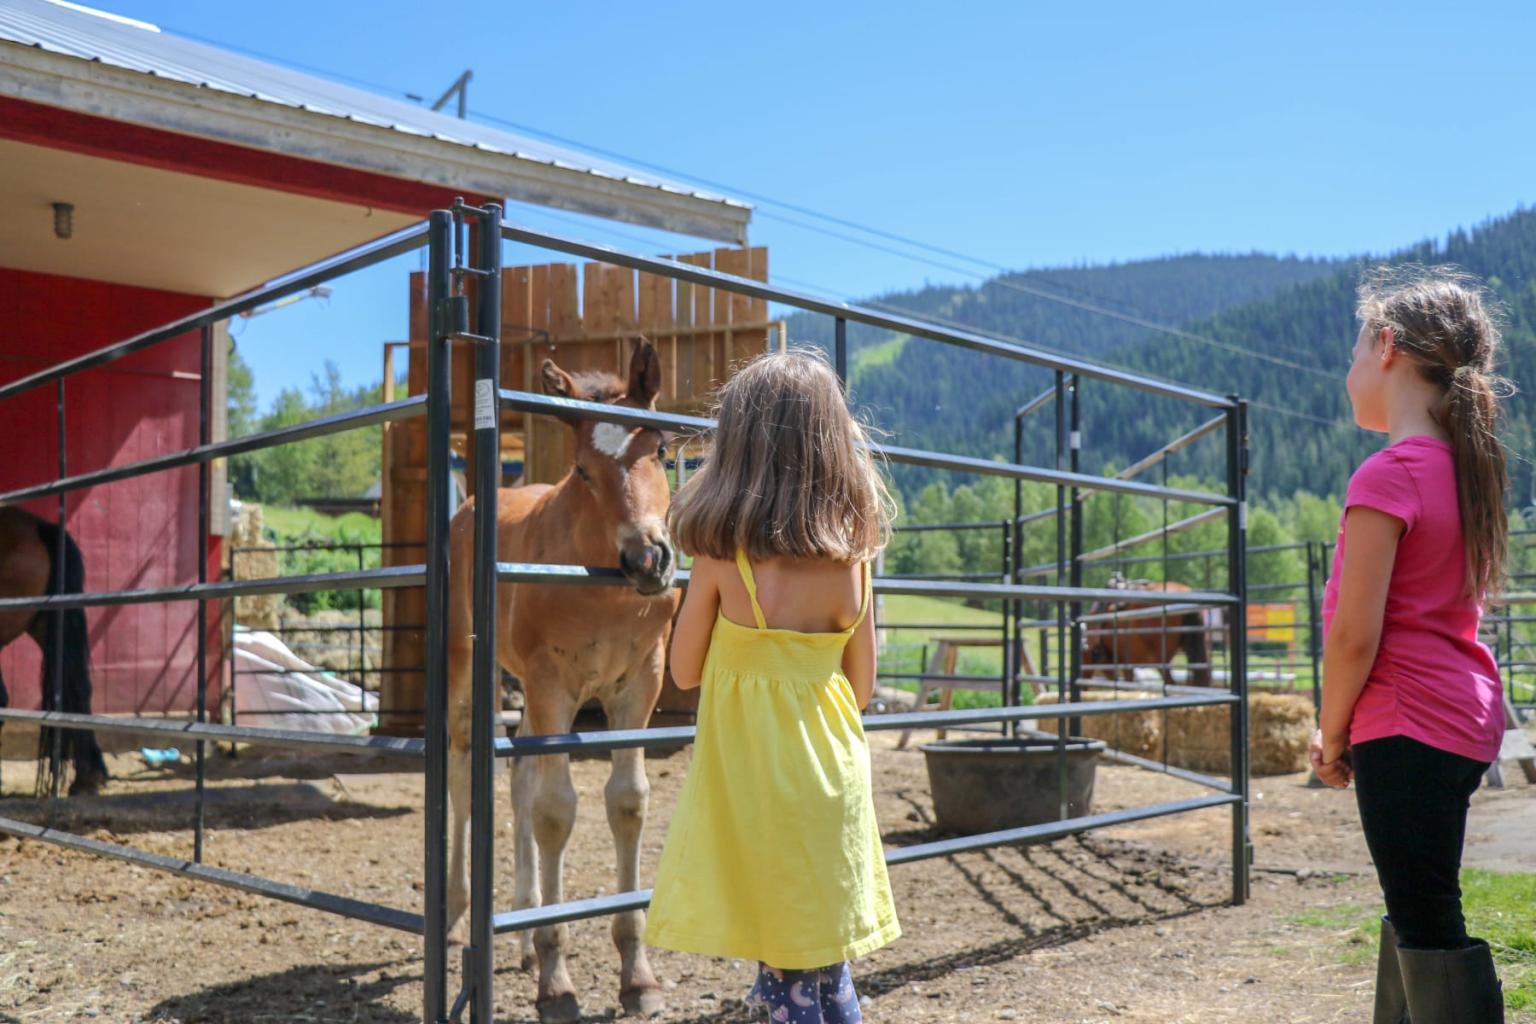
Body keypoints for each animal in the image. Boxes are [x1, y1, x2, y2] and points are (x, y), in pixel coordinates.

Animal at [446, 339, 679, 1024]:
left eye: (661, 449)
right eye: (581, 470)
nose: (648, 558)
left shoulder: (639, 685)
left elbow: (627, 802)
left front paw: (637, 976)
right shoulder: (554, 683)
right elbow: (556, 811)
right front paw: (557, 982)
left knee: (519, 773)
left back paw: (521, 932)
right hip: (472, 664)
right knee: (465, 761)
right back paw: (461, 913)